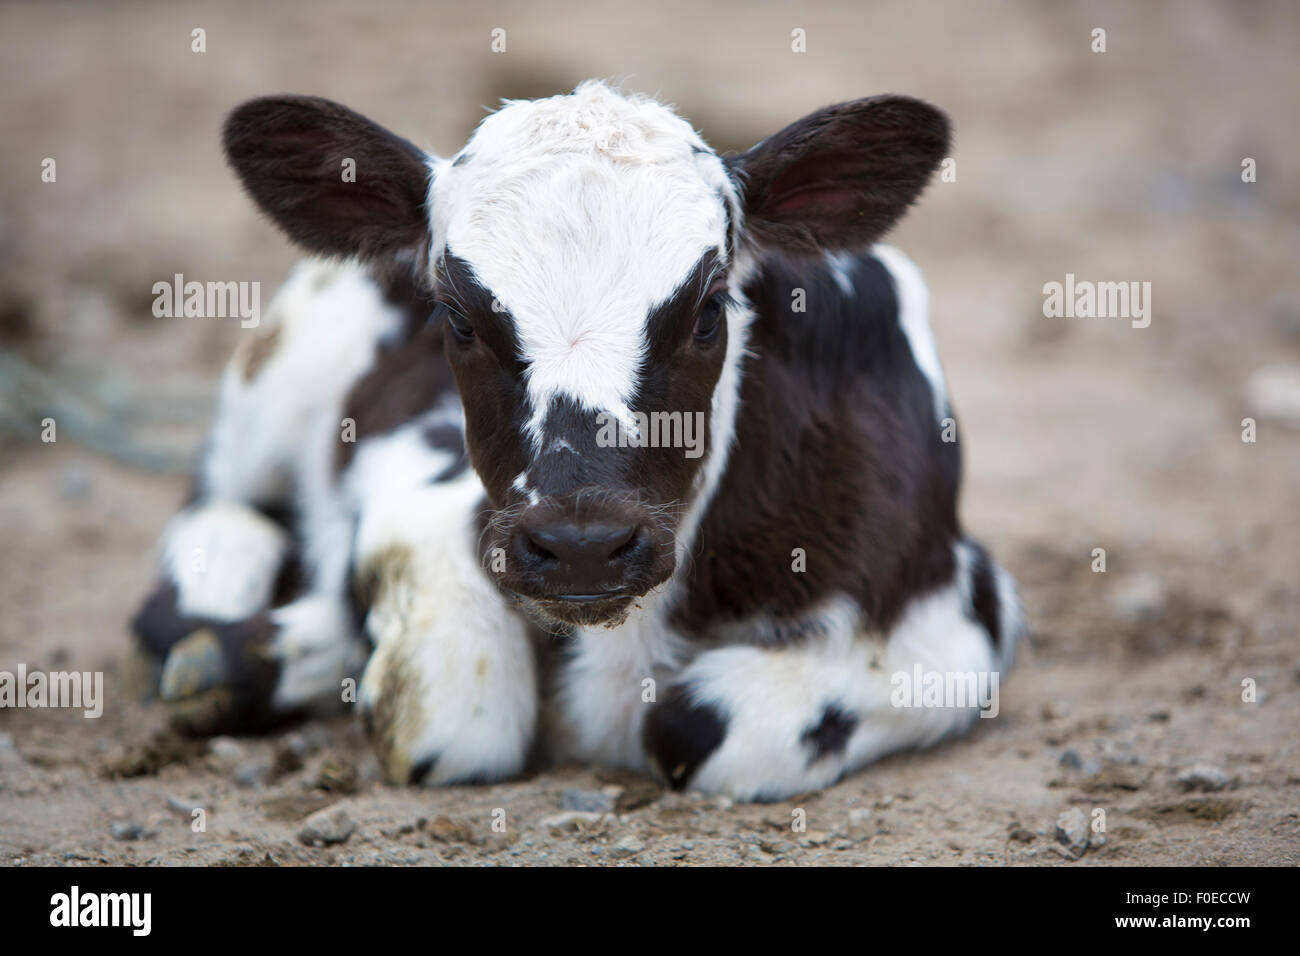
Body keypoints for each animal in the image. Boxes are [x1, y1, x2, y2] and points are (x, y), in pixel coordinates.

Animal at [134, 80, 1024, 801]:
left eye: (710, 310)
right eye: (457, 318)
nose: (584, 545)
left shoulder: (961, 617)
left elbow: (694, 726)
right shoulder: (431, 501)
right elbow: (454, 722)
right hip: (280, 367)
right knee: (209, 529)